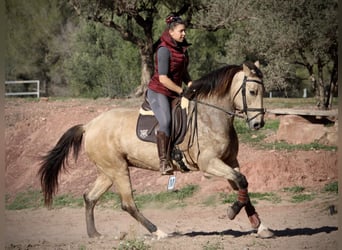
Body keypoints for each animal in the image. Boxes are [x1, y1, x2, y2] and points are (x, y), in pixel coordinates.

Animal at [37, 61, 274, 240]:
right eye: (252, 91)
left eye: (263, 91)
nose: (258, 124)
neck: (211, 116)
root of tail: (89, 125)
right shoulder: (210, 164)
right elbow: (241, 182)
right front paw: (232, 212)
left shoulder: (230, 162)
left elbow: (243, 186)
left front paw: (261, 226)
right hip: (118, 170)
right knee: (127, 204)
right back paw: (159, 232)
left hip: (107, 171)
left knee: (90, 197)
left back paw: (94, 234)